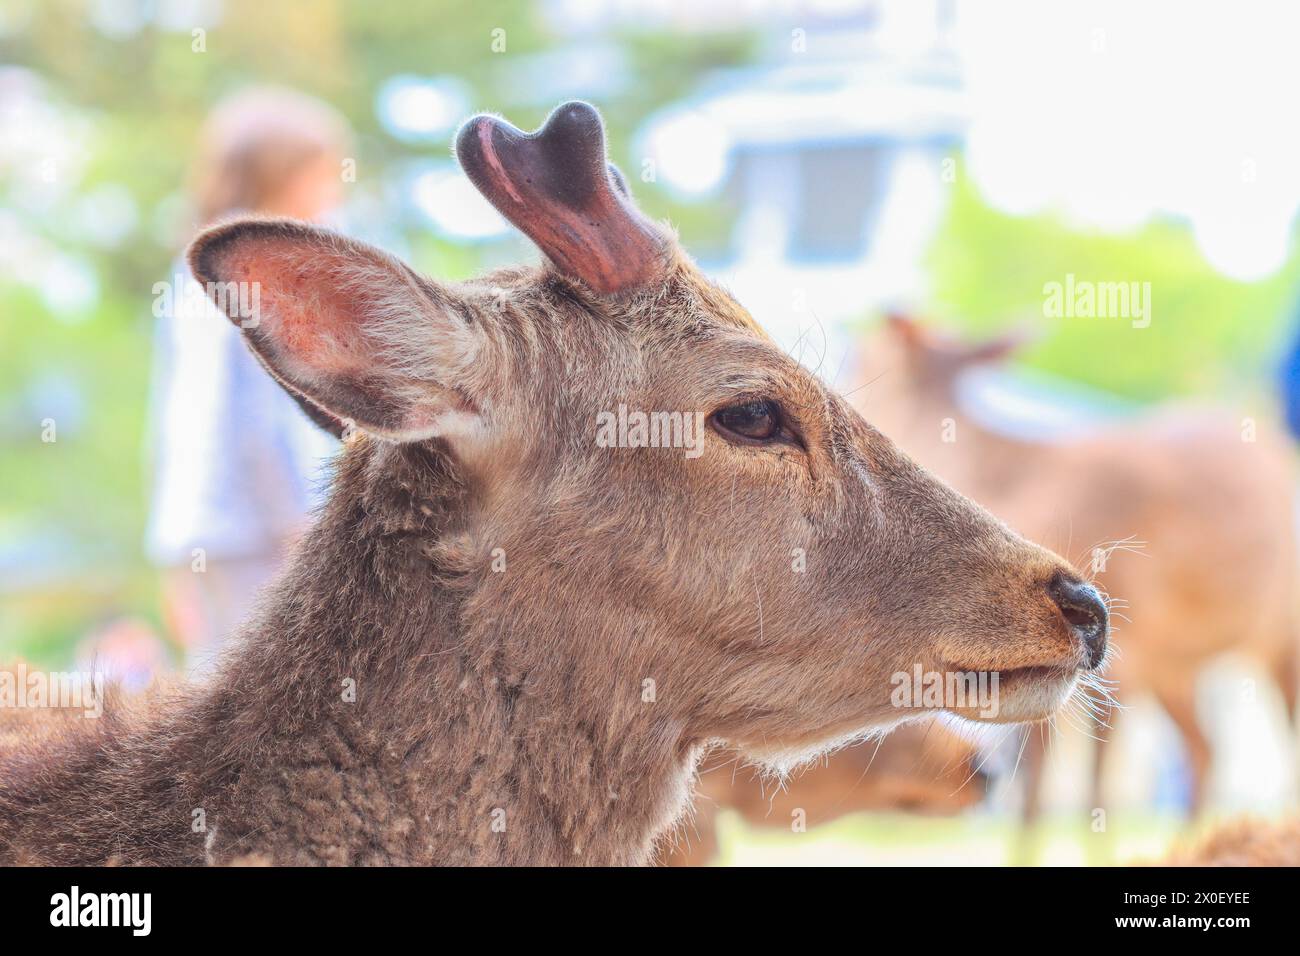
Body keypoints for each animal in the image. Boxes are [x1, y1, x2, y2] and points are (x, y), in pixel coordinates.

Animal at [852, 316, 1300, 837]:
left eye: (868, 356)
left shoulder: (1118, 644)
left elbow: (1071, 778)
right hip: (1176, 662)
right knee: (1204, 747)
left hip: (1274, 634)